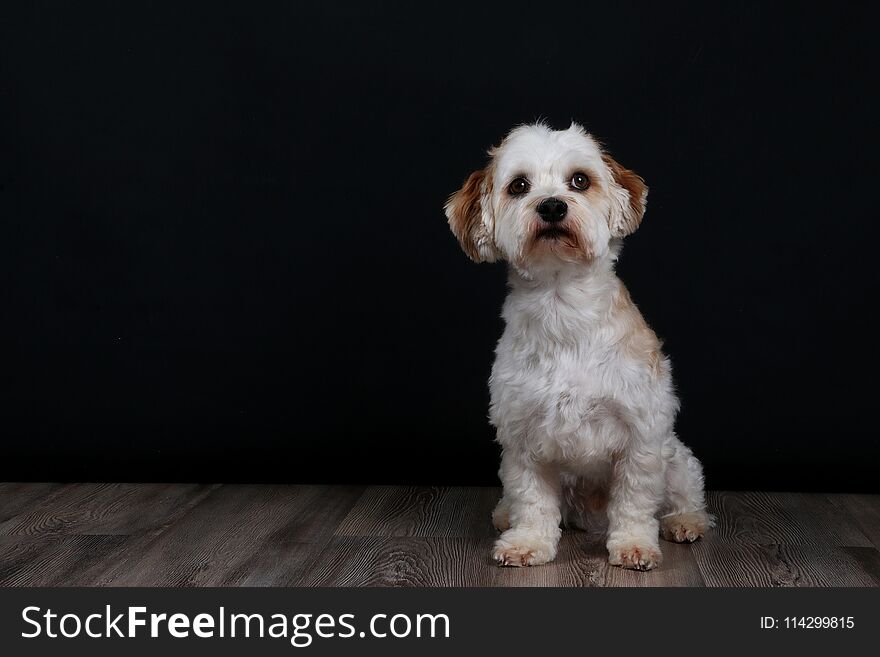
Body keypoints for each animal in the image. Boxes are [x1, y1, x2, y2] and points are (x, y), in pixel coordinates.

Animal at [444, 121, 712, 568]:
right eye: (518, 186)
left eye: (580, 181)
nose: (552, 206)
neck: (563, 310)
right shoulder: (522, 436)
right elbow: (532, 499)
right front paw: (528, 541)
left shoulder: (641, 434)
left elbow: (635, 499)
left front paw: (634, 544)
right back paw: (505, 515)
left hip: (675, 457)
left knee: (686, 493)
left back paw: (685, 521)